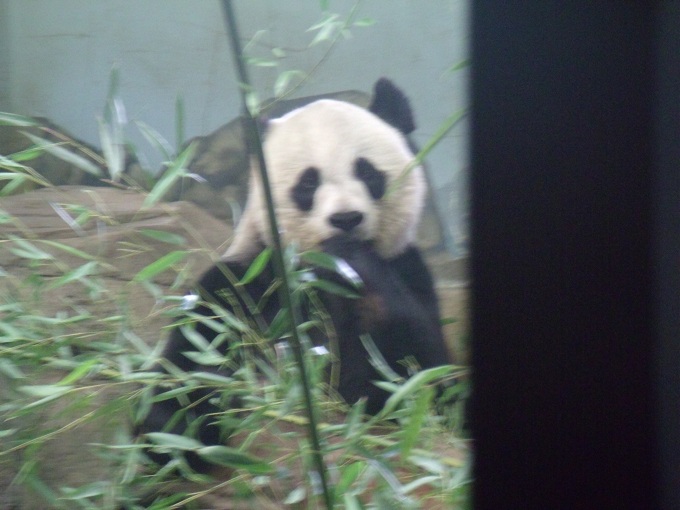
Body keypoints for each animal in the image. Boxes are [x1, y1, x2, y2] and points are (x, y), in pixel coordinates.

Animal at [137, 78, 451, 470]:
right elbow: (192, 358)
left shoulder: (407, 270)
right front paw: (188, 424)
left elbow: (417, 380)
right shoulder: (247, 281)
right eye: (308, 184)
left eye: (367, 173)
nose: (346, 219)